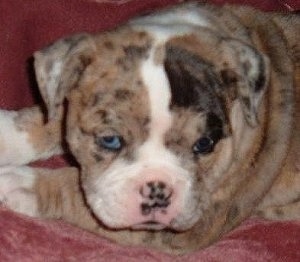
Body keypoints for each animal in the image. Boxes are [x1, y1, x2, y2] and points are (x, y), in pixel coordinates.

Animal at [0, 3, 300, 255]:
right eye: (110, 140)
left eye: (204, 144)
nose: (158, 191)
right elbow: (53, 116)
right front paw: (8, 136)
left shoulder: (189, 228)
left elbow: (74, 190)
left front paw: (22, 183)